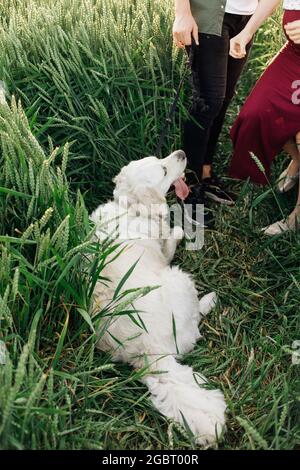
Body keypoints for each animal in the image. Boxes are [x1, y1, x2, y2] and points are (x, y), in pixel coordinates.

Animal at [90, 151, 226, 448]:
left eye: (158, 158)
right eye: (163, 170)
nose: (182, 153)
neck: (132, 207)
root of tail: (149, 355)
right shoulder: (165, 256)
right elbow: (171, 242)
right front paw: (178, 232)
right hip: (180, 279)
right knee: (196, 319)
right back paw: (209, 300)